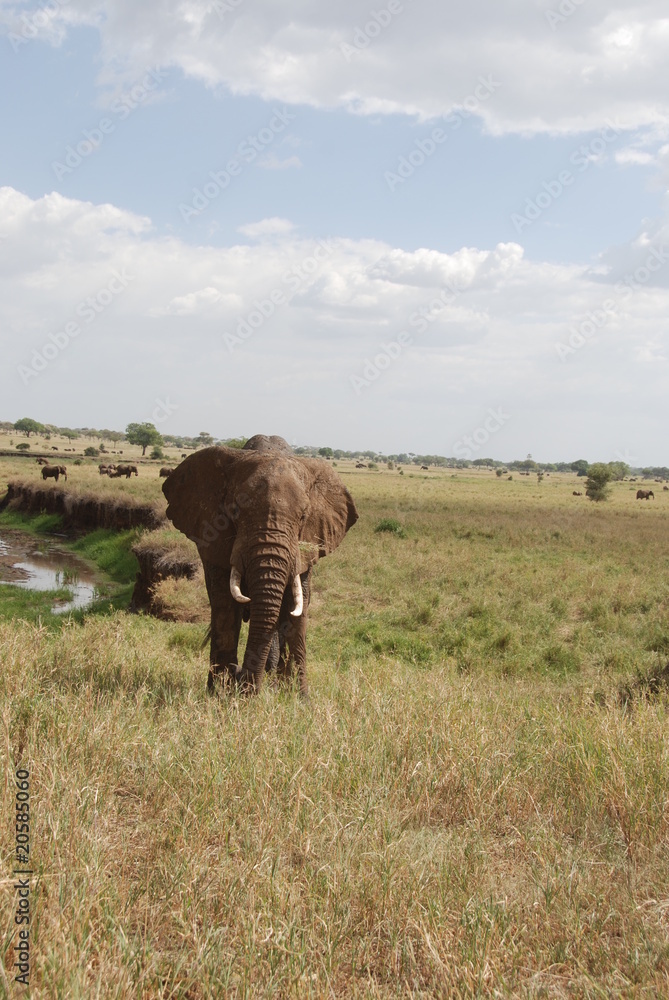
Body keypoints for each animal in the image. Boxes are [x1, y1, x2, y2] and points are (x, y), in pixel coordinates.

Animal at [162, 437, 358, 697]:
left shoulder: (307, 547)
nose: (242, 681)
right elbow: (224, 607)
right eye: (234, 511)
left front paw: (299, 698)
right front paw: (218, 695)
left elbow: (297, 608)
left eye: (303, 517)